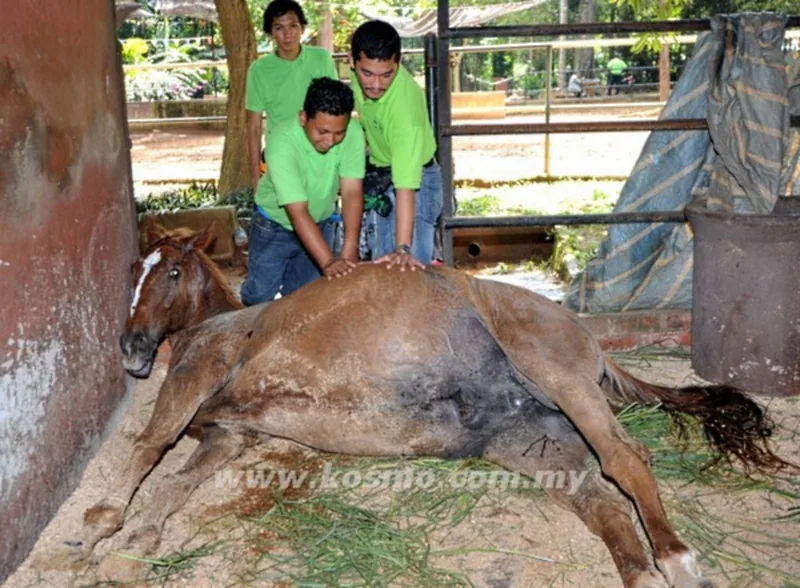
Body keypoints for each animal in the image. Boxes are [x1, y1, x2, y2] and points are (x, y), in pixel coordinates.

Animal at [63, 222, 786, 587]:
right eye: (134, 275)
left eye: (172, 271)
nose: (131, 347)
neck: (229, 325)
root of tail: (587, 339)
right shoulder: (228, 434)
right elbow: (171, 487)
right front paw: (134, 547)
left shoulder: (195, 383)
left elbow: (148, 448)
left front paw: (98, 530)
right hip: (535, 444)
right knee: (603, 501)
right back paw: (643, 573)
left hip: (559, 378)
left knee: (626, 458)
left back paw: (677, 558)